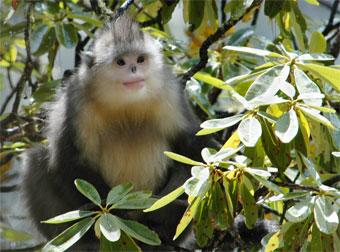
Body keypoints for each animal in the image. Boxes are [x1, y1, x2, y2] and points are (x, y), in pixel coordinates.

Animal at [21, 14, 274, 251]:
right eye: (121, 62)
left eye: (140, 60)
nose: (133, 69)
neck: (124, 104)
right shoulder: (76, 102)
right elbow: (69, 160)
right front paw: (107, 212)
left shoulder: (170, 92)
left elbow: (193, 147)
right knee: (37, 160)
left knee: (187, 168)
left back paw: (158, 231)